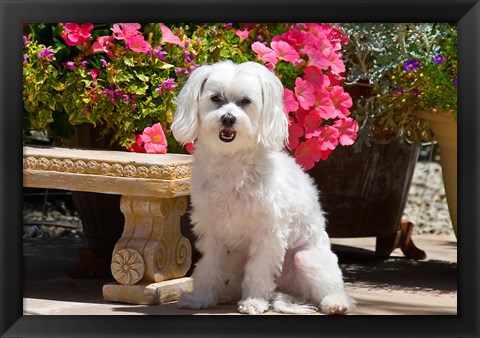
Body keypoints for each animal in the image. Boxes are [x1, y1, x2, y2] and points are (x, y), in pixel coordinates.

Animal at [171, 60, 354, 314]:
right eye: (216, 98)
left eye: (245, 101)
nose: (228, 118)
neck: (232, 160)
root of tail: (288, 291)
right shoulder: (212, 230)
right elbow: (208, 267)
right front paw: (201, 298)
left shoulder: (269, 233)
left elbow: (258, 270)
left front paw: (254, 302)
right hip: (237, 257)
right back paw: (226, 294)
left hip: (307, 259)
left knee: (332, 289)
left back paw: (334, 303)